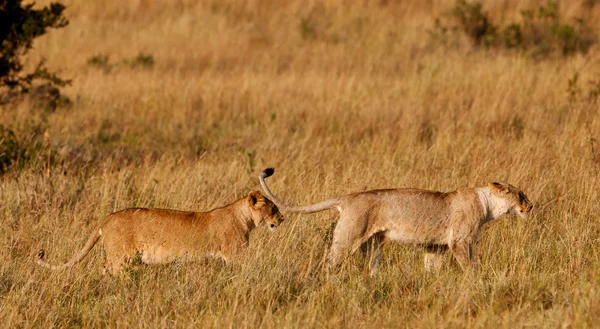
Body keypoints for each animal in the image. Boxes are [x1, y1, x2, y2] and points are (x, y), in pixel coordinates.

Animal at [35, 190, 284, 274]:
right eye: (273, 207)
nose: (281, 219)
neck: (244, 217)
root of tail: (107, 217)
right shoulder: (235, 255)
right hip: (121, 255)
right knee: (107, 267)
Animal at [260, 168, 532, 272]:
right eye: (520, 194)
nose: (531, 205)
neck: (488, 206)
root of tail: (348, 197)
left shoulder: (436, 247)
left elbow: (432, 268)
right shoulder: (460, 242)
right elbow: (471, 267)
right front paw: (477, 282)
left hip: (374, 244)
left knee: (371, 267)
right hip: (348, 237)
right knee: (329, 262)